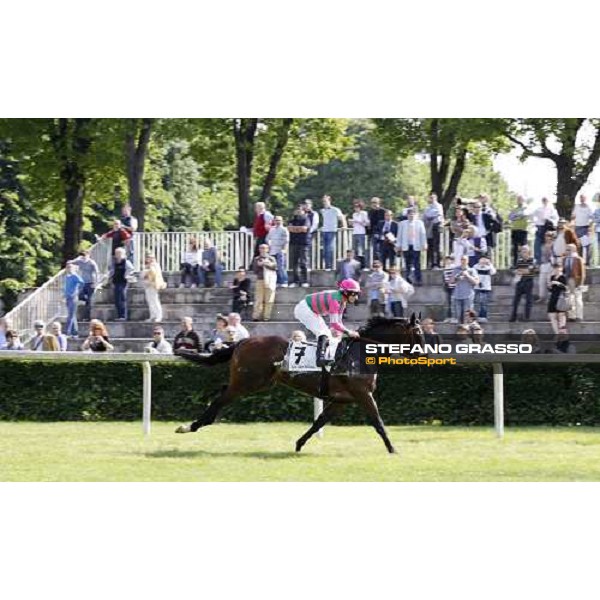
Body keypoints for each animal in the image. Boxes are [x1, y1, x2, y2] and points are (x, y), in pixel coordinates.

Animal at [176, 316, 424, 452]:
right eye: (419, 333)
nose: (425, 355)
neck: (360, 353)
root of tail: (243, 341)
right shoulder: (363, 394)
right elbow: (378, 422)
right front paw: (393, 449)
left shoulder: (342, 400)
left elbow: (319, 422)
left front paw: (298, 444)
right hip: (248, 382)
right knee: (221, 398)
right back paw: (191, 426)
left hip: (258, 383)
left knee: (221, 393)